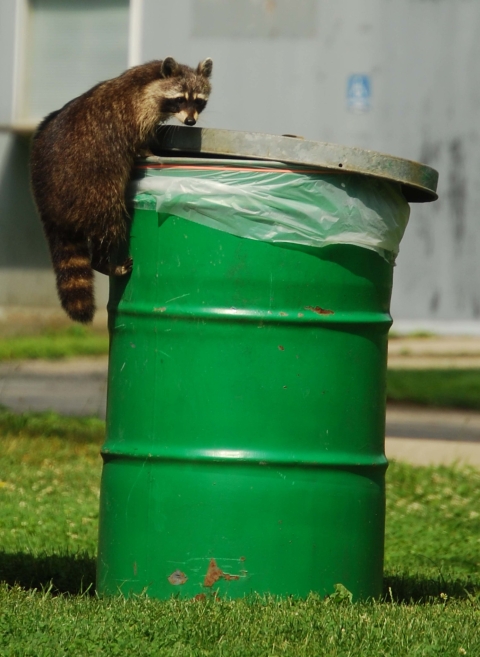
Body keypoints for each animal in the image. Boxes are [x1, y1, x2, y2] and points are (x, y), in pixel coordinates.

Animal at [29, 58, 211, 322]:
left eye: (198, 100)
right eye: (179, 99)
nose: (190, 122)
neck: (151, 79)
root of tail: (47, 199)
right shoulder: (135, 114)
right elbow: (139, 144)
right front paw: (150, 151)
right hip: (92, 189)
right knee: (109, 221)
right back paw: (103, 262)